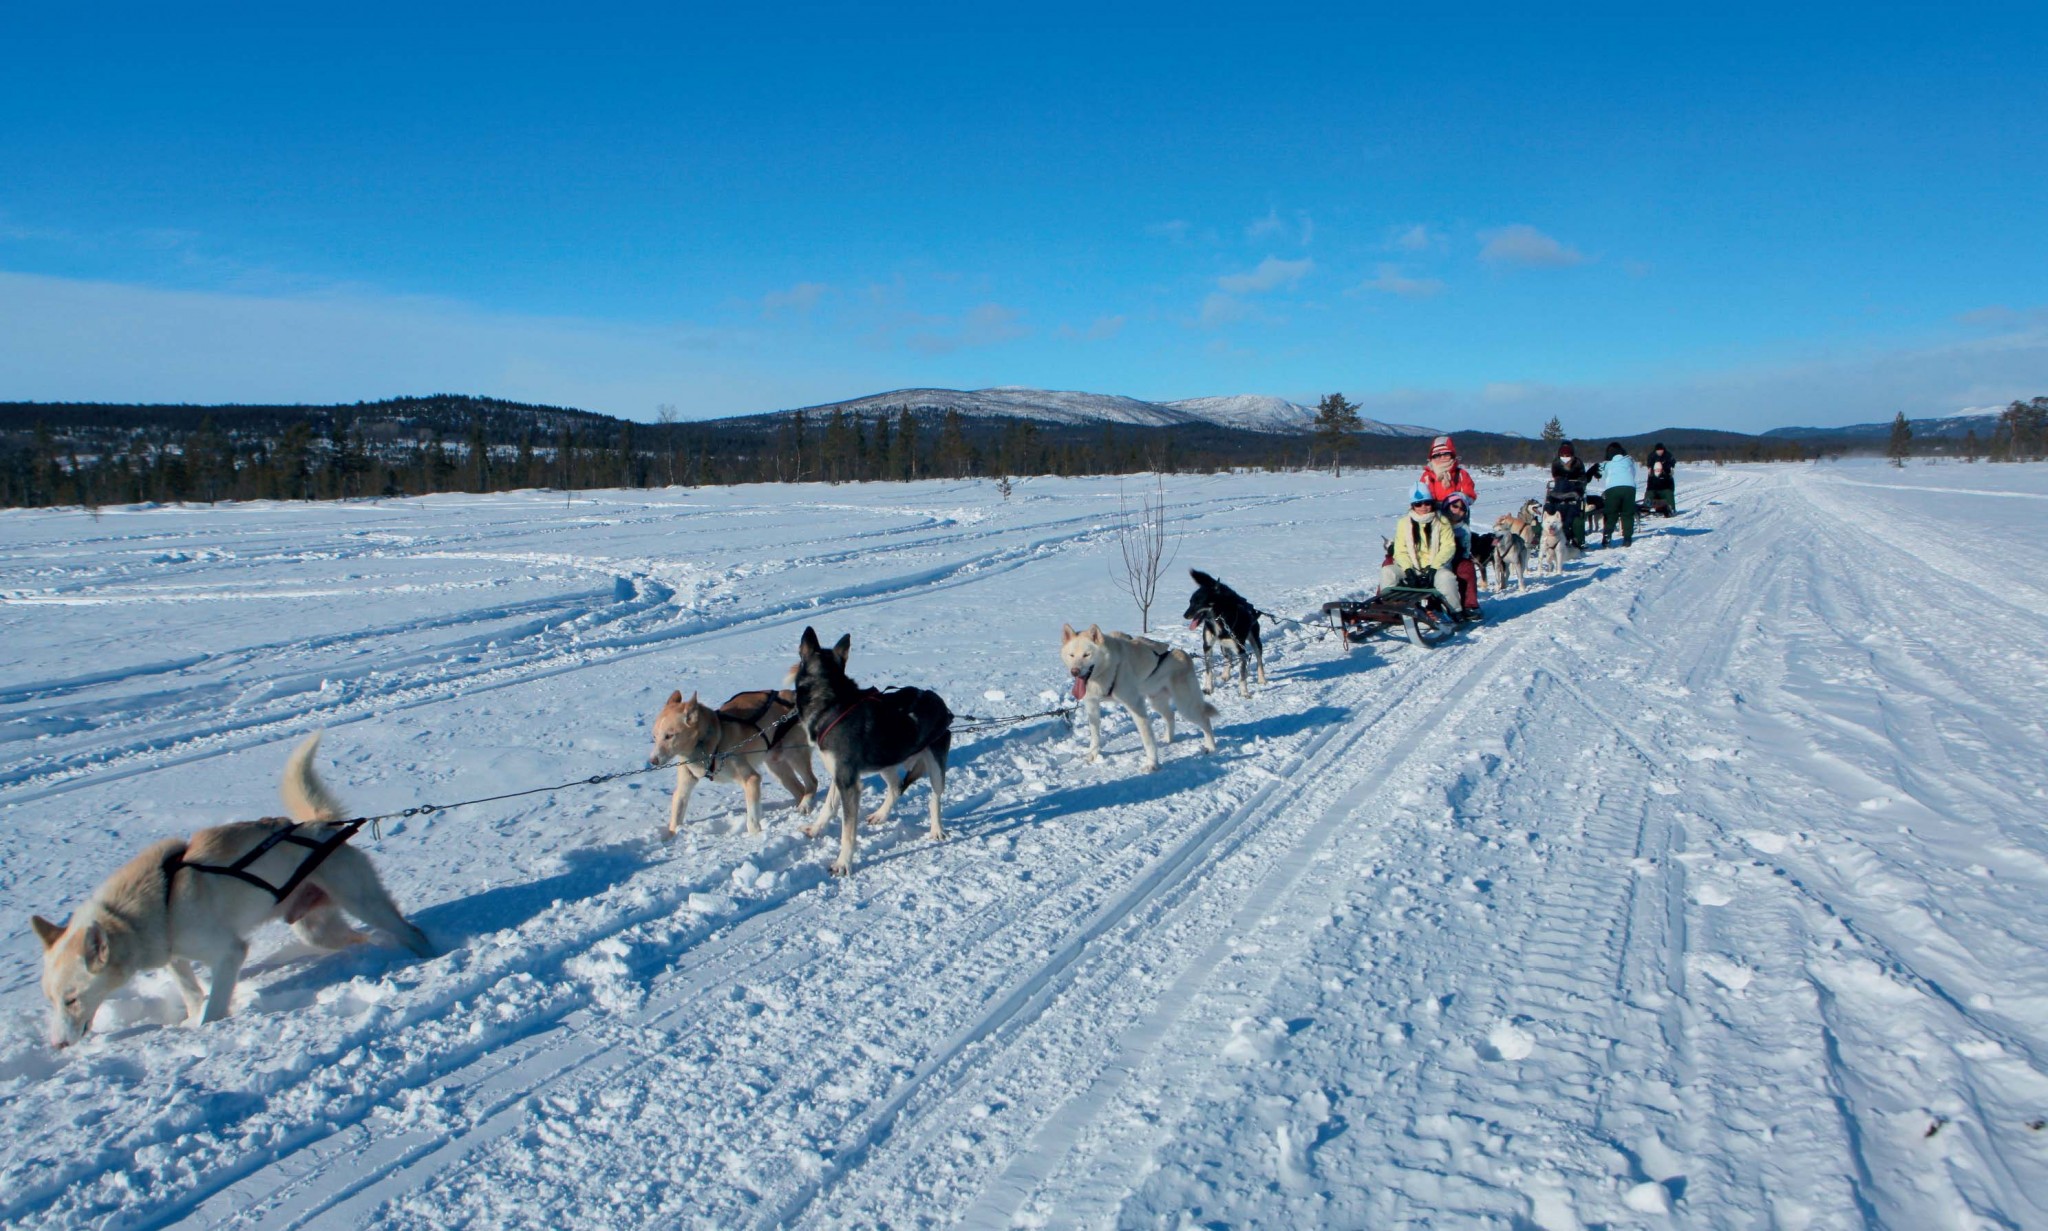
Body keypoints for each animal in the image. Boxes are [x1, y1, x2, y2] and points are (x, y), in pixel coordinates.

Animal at [34, 729, 434, 1044]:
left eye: (71, 999)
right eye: (51, 1000)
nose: (57, 1044)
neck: (158, 902)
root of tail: (321, 826)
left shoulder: (229, 952)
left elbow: (213, 1007)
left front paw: (206, 1031)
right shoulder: (175, 957)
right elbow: (191, 992)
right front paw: (190, 1019)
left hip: (362, 902)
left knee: (411, 930)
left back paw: (427, 957)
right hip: (317, 929)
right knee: (359, 938)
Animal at [647, 680, 823, 835]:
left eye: (669, 736)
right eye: (654, 737)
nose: (653, 761)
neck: (712, 742)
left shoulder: (751, 779)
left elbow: (752, 819)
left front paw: (755, 837)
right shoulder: (684, 786)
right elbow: (676, 813)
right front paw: (671, 836)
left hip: (795, 754)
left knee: (812, 782)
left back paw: (805, 805)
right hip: (776, 767)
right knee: (799, 789)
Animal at [790, 622, 950, 872]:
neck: (832, 703)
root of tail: (940, 703)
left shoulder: (848, 783)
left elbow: (847, 831)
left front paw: (843, 863)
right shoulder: (840, 775)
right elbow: (828, 807)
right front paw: (815, 829)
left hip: (934, 767)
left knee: (934, 798)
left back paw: (937, 829)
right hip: (885, 762)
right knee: (896, 788)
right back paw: (881, 815)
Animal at [1056, 622, 1212, 770]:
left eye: (1086, 654)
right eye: (1071, 655)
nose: (1074, 671)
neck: (1109, 669)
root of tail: (1183, 655)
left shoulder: (1135, 705)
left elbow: (1147, 738)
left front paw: (1152, 764)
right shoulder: (1092, 705)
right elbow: (1095, 735)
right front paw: (1093, 754)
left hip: (1186, 707)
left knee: (1205, 720)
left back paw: (1211, 747)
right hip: (1157, 702)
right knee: (1170, 715)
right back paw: (1169, 738)